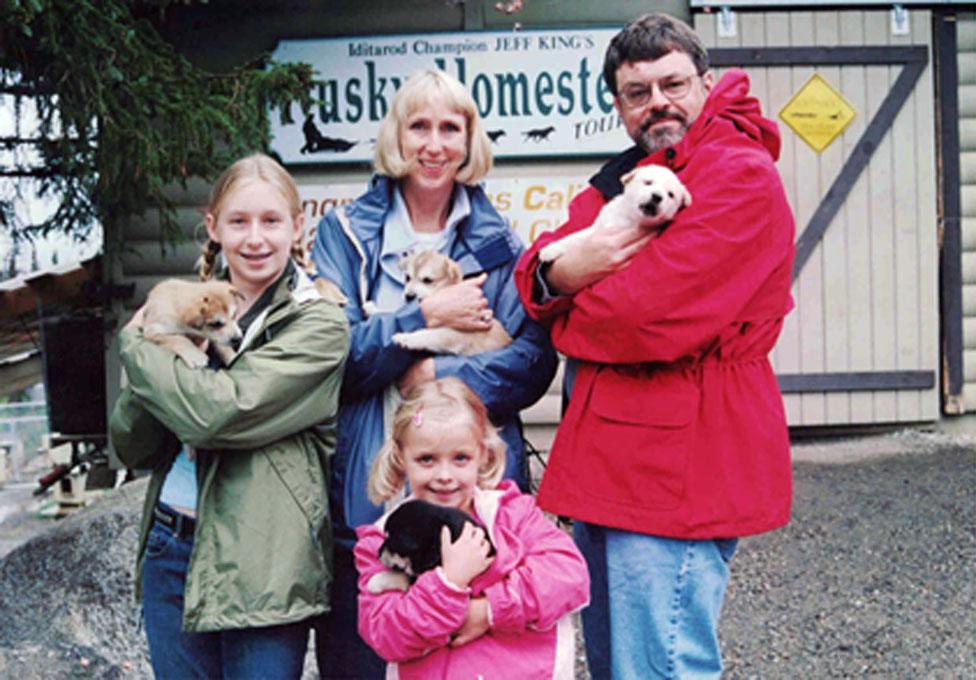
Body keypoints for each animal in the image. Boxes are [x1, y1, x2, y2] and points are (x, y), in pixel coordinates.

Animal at [536, 163, 692, 264]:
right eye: (648, 182)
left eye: (670, 195)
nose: (657, 197)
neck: (629, 217)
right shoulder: (598, 229)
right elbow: (574, 238)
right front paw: (550, 250)